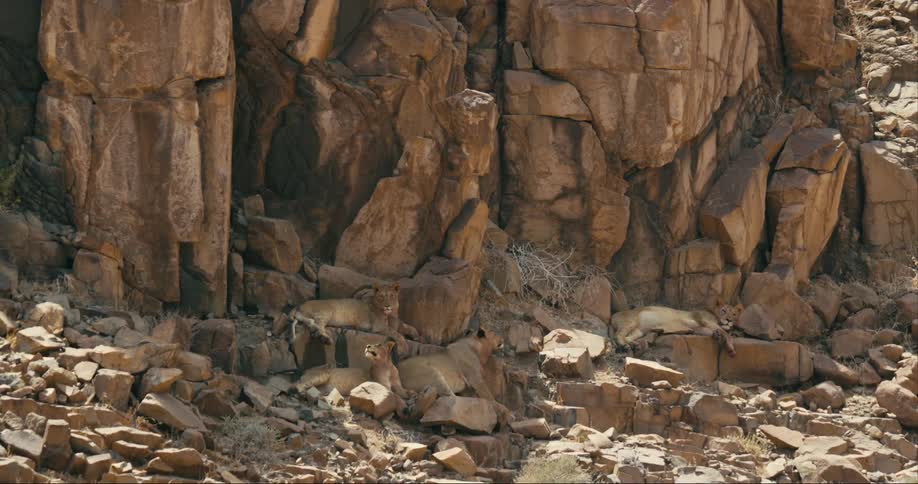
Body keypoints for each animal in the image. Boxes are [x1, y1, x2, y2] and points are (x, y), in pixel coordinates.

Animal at [610, 300, 742, 357]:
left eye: (734, 314)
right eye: (723, 311)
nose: (729, 320)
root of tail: (613, 315)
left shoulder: (699, 327)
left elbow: (713, 331)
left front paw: (717, 335)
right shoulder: (705, 320)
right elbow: (727, 333)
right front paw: (731, 348)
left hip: (639, 330)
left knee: (628, 337)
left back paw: (634, 345)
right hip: (631, 321)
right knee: (618, 335)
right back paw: (626, 346)